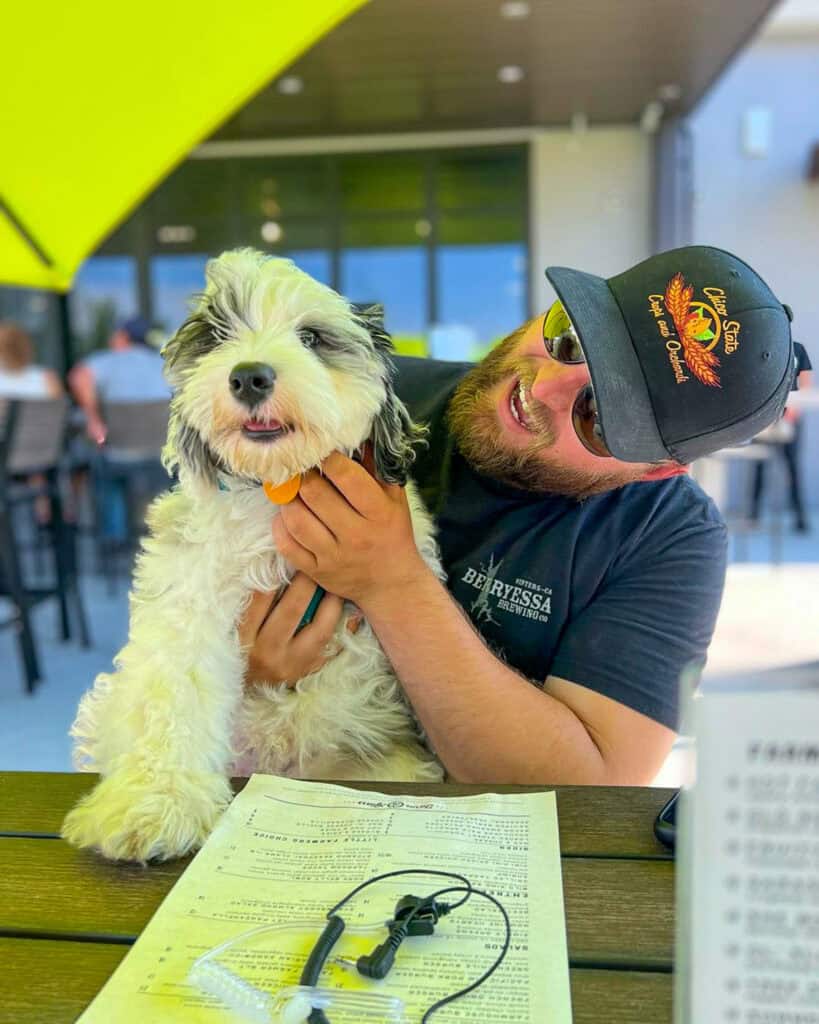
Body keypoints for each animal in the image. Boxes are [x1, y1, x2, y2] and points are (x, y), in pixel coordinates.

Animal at [60, 249, 444, 864]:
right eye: (219, 335)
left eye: (311, 337)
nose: (249, 375)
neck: (275, 491)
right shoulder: (187, 596)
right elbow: (175, 688)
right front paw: (154, 803)